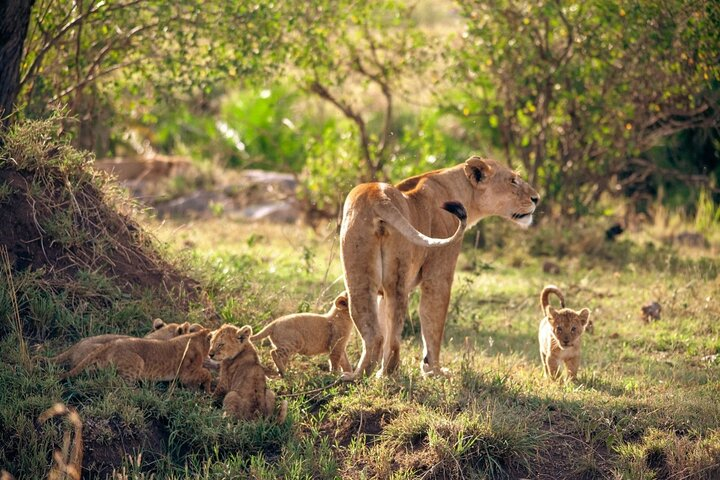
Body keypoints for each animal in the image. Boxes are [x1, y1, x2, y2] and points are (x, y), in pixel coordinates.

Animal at [60, 328, 213, 391]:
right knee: (117, 383)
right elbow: (206, 373)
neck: (196, 337)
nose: (212, 355)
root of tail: (112, 344)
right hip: (138, 362)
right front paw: (207, 389)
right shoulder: (186, 374)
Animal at [340, 156, 538, 379]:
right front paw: (433, 370)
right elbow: (433, 321)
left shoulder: (381, 293)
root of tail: (378, 194)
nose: (536, 198)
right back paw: (390, 373)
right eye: (513, 181)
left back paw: (360, 375)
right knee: (394, 334)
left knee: (375, 333)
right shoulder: (439, 274)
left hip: (358, 275)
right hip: (397, 276)